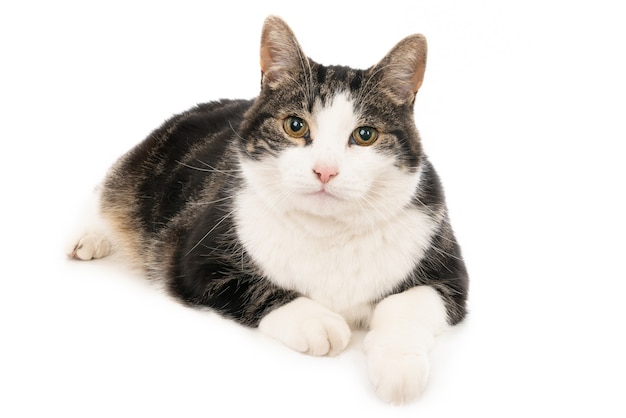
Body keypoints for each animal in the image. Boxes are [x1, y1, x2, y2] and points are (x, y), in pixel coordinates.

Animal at [69, 16, 468, 404]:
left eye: (365, 135)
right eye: (295, 126)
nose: (325, 170)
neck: (328, 230)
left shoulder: (449, 271)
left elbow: (406, 305)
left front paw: (399, 368)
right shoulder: (197, 260)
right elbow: (259, 289)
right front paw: (318, 322)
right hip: (137, 170)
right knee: (106, 191)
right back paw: (89, 238)